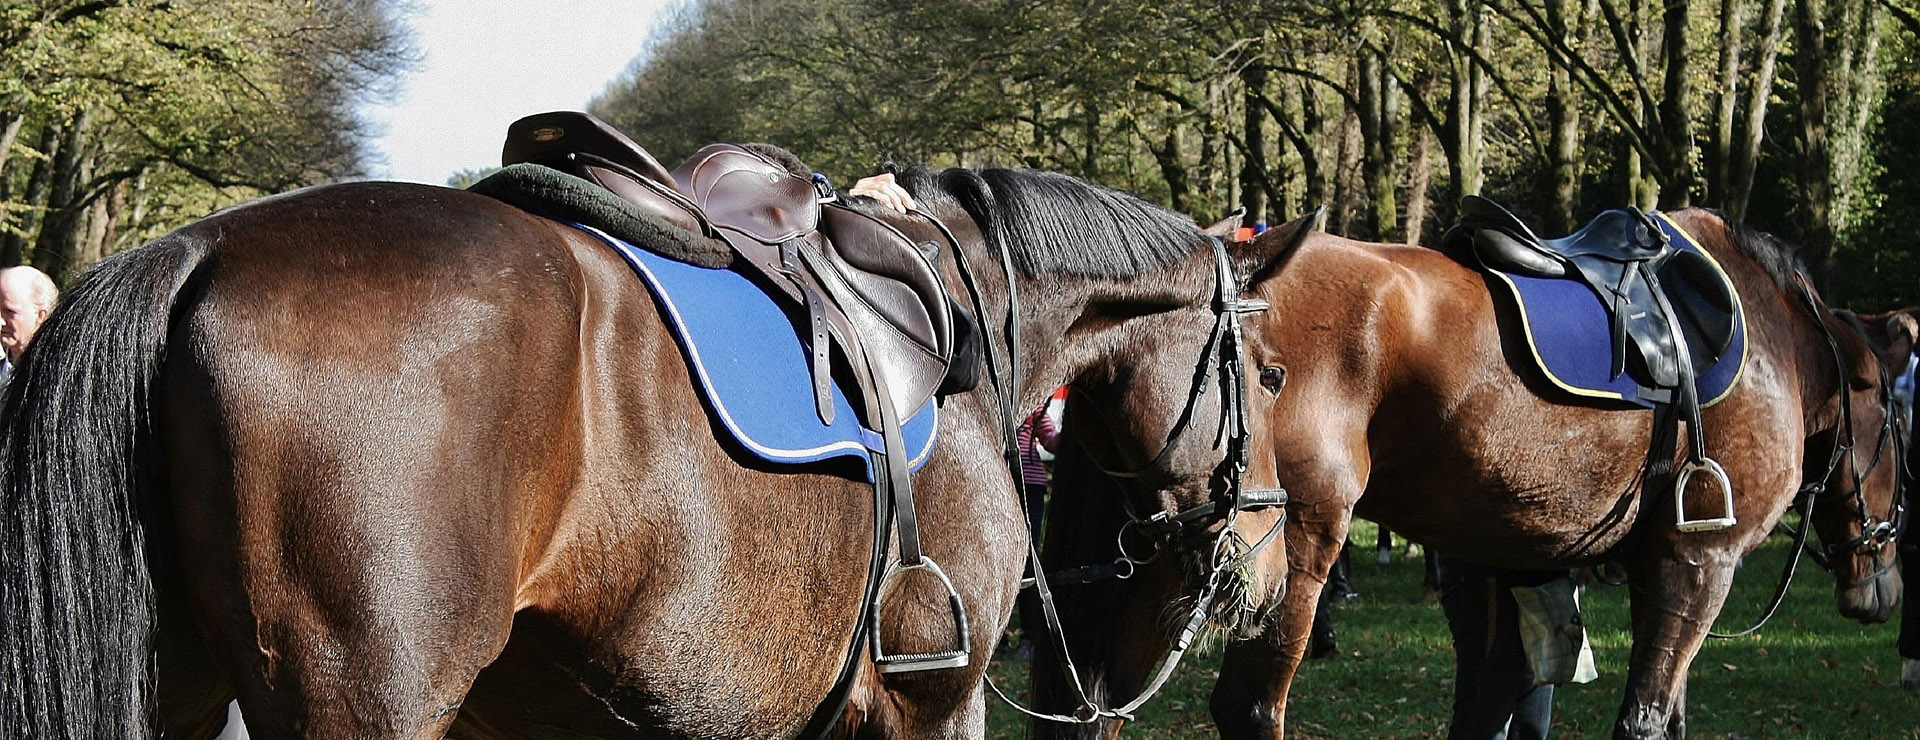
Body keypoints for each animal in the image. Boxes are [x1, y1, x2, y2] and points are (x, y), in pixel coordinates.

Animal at [1028, 208, 1907, 739]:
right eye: (1901, 424)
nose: (1883, 585)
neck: (1774, 342)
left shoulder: (1536, 570)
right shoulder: (1700, 561)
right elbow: (1648, 716)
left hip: (1168, 551)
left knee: (1099, 705)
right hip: (1283, 553)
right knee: (1247, 708)